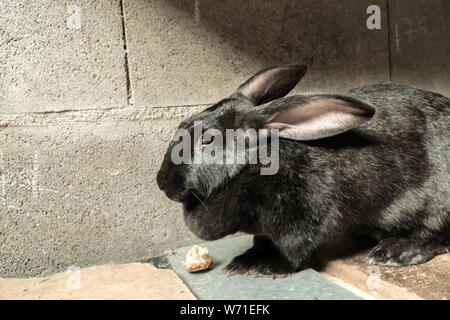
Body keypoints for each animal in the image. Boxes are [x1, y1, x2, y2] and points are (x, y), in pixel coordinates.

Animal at [156, 64, 448, 276]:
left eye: (207, 140)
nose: (162, 182)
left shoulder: (304, 216)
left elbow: (296, 249)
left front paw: (269, 267)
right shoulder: (265, 230)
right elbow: (261, 242)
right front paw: (242, 261)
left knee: (436, 236)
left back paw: (394, 250)